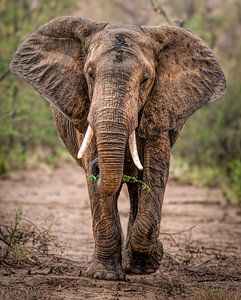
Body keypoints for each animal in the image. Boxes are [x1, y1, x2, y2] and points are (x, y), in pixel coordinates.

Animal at [10, 15, 227, 278]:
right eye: (89, 73)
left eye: (145, 79)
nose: (96, 167)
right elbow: (99, 185)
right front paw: (104, 274)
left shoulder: (160, 108)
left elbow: (155, 172)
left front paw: (149, 261)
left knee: (136, 188)